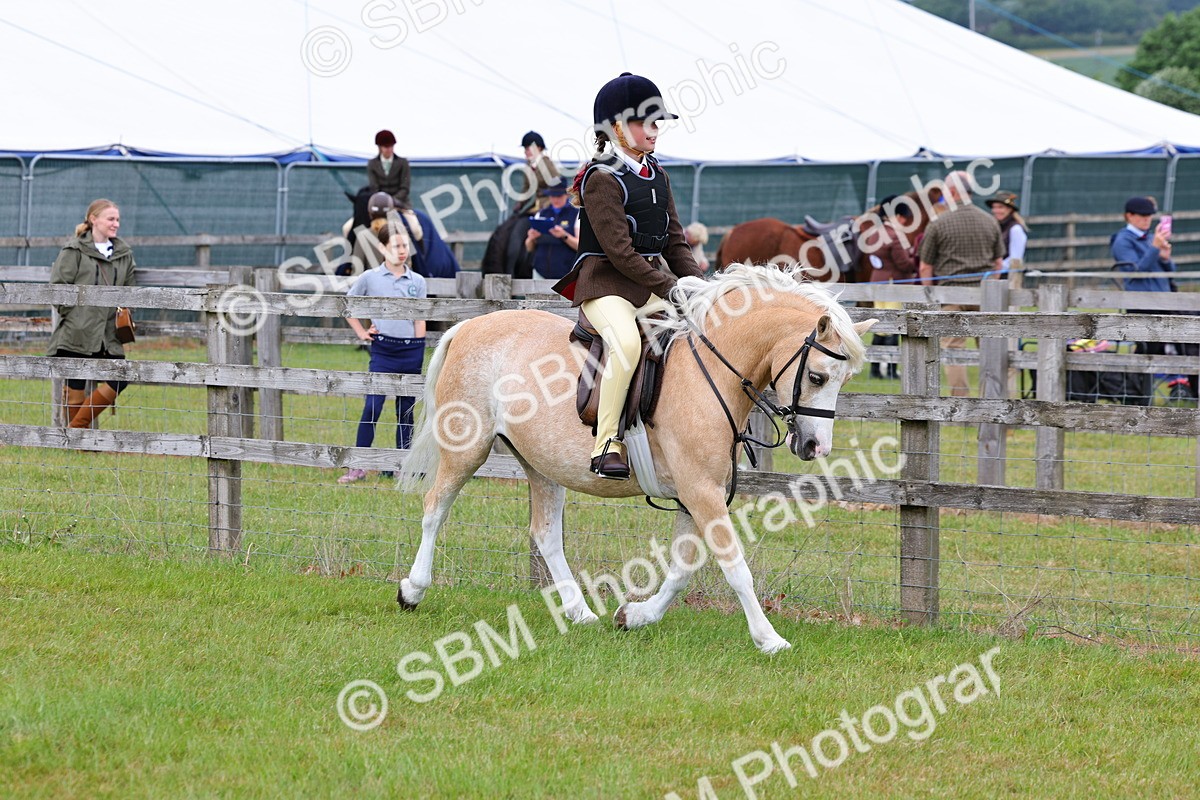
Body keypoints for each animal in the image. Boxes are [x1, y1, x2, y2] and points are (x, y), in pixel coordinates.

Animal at [396, 263, 877, 653]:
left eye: (844, 379)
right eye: (817, 376)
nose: (816, 448)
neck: (710, 371)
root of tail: (468, 326)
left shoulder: (695, 494)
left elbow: (683, 568)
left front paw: (635, 615)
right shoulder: (701, 492)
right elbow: (735, 567)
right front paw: (769, 639)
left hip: (541, 464)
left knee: (546, 534)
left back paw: (579, 612)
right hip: (468, 449)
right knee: (434, 509)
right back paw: (412, 591)